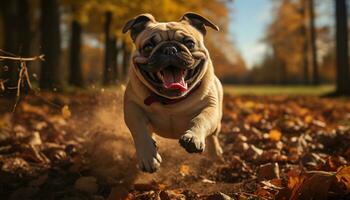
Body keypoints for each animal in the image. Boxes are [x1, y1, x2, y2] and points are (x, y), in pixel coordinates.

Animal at [121, 12, 223, 173]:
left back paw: (215, 152)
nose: (169, 49)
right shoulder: (132, 108)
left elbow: (201, 119)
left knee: (213, 135)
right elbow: (139, 129)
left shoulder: (211, 107)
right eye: (148, 46)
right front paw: (148, 156)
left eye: (190, 43)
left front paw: (193, 137)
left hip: (218, 120)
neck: (171, 101)